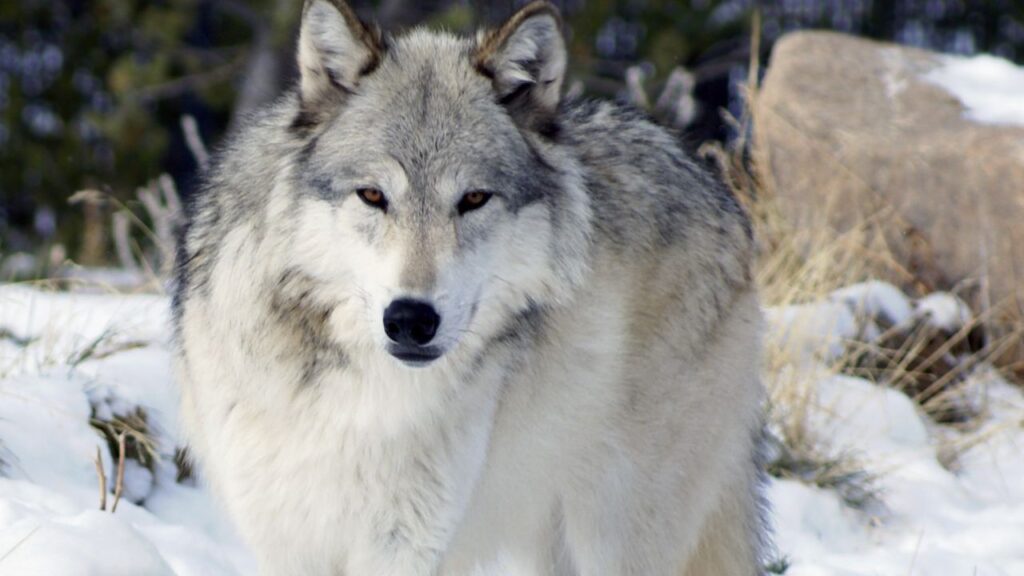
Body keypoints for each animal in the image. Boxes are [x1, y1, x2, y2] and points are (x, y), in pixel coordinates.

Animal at [172, 1, 768, 574]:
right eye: (372, 195)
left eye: (474, 199)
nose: (410, 320)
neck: (355, 400)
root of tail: (716, 190)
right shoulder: (285, 540)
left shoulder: (404, 545)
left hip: (614, 533)